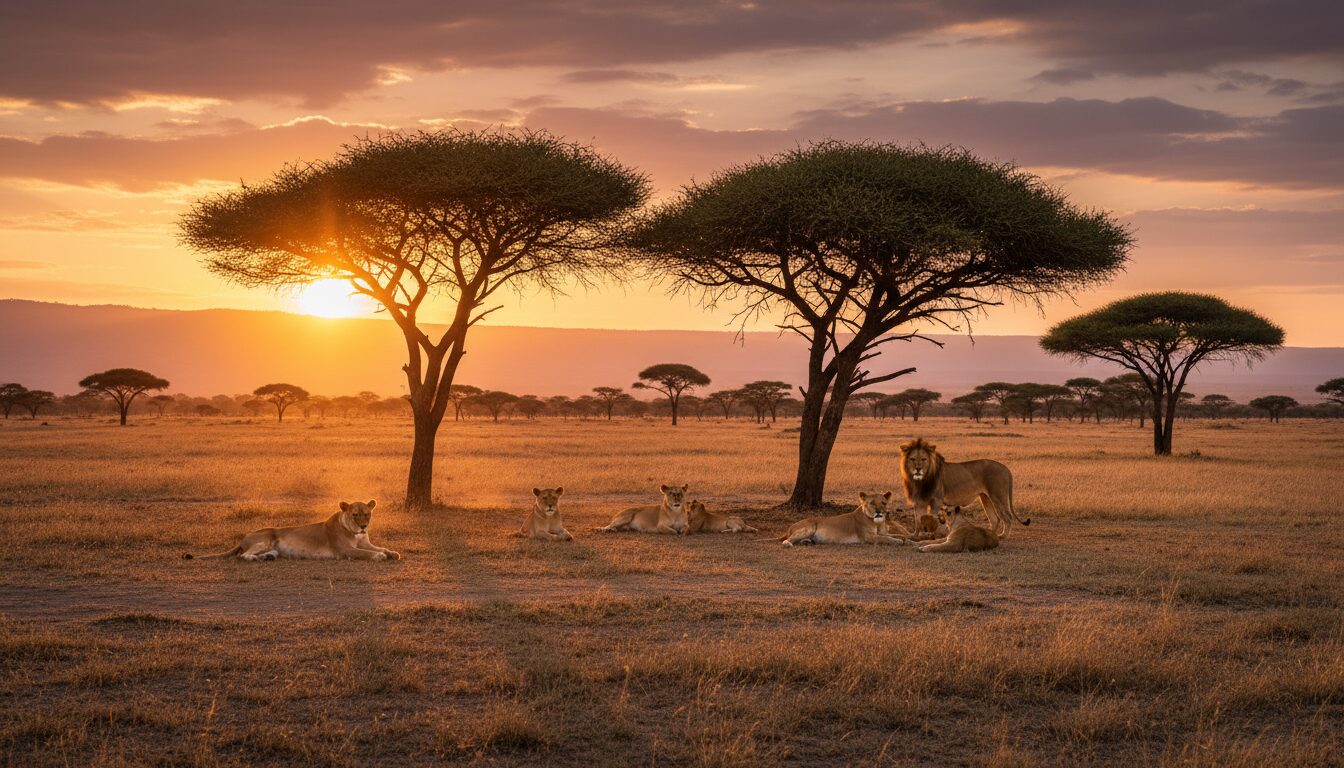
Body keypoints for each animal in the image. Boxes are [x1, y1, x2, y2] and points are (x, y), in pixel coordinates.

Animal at [185, 500, 399, 561]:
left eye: (367, 514)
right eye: (355, 515)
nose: (363, 526)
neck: (356, 534)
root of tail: (243, 537)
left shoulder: (366, 542)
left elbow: (379, 547)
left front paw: (392, 553)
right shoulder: (344, 550)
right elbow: (365, 553)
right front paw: (379, 556)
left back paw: (268, 557)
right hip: (265, 538)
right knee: (242, 556)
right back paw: (255, 558)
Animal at [772, 491, 910, 547]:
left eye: (883, 503)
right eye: (872, 503)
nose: (879, 512)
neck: (877, 523)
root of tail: (790, 528)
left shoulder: (882, 532)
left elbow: (896, 535)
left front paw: (907, 540)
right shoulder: (868, 538)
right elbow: (886, 539)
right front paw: (898, 541)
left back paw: (808, 542)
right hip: (809, 527)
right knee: (787, 540)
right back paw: (789, 544)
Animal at [899, 437, 1029, 537]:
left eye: (924, 459)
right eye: (912, 459)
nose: (918, 468)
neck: (920, 481)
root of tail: (1006, 468)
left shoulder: (936, 500)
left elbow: (932, 519)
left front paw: (930, 535)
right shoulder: (919, 501)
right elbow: (918, 520)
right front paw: (915, 536)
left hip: (998, 496)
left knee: (1008, 518)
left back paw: (1003, 536)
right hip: (985, 498)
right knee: (994, 519)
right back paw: (988, 535)